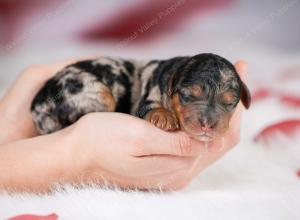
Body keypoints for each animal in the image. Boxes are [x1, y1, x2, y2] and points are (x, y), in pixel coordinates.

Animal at [31, 52, 251, 141]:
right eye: (188, 95)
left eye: (230, 102)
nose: (207, 124)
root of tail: (38, 105)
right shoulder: (148, 97)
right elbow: (150, 107)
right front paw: (164, 117)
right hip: (94, 93)